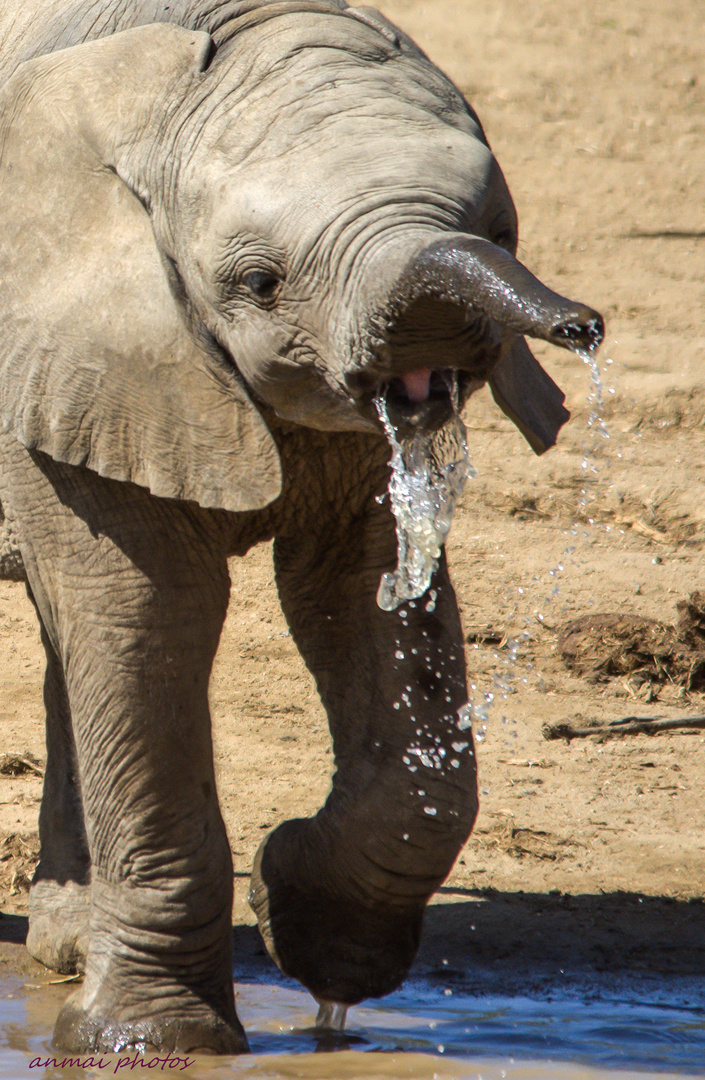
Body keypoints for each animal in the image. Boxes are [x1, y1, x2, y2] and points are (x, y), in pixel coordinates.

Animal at [0, 0, 600, 1054]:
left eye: (502, 229)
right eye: (258, 281)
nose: (583, 326)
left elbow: (360, 590)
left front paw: (321, 953)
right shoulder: (68, 341)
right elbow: (149, 609)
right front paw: (152, 1045)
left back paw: (70, 945)